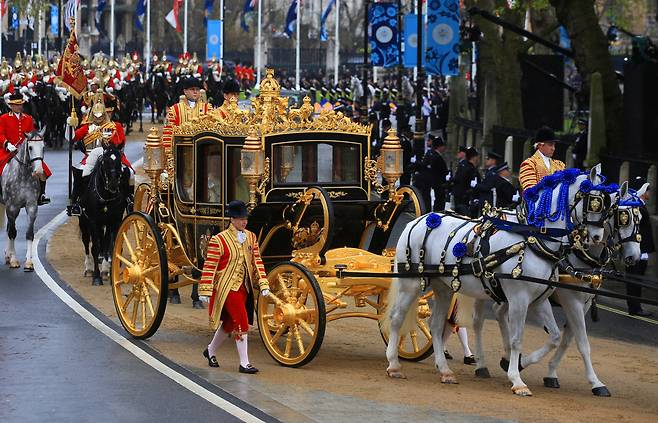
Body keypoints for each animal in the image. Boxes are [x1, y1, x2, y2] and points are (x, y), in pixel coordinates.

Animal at [0, 129, 46, 274]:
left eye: (43, 147)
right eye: (30, 147)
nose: (39, 171)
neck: (23, 175)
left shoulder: (31, 207)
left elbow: (29, 234)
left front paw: (29, 262)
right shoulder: (11, 207)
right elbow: (13, 233)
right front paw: (14, 261)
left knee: (9, 227)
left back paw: (8, 255)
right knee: (10, 229)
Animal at [78, 144, 128, 286]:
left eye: (119, 161)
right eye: (105, 161)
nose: (113, 183)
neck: (106, 196)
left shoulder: (113, 221)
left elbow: (109, 247)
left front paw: (108, 273)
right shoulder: (93, 221)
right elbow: (95, 247)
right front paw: (96, 277)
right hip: (84, 222)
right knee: (86, 242)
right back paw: (89, 268)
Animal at [384, 167, 604, 396]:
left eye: (607, 203)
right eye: (594, 201)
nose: (596, 237)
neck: (532, 241)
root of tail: (417, 220)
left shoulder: (539, 301)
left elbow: (554, 337)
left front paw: (520, 365)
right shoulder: (519, 299)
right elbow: (517, 339)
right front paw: (516, 378)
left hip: (443, 288)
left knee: (436, 325)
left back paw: (445, 370)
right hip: (411, 283)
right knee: (397, 317)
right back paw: (394, 364)